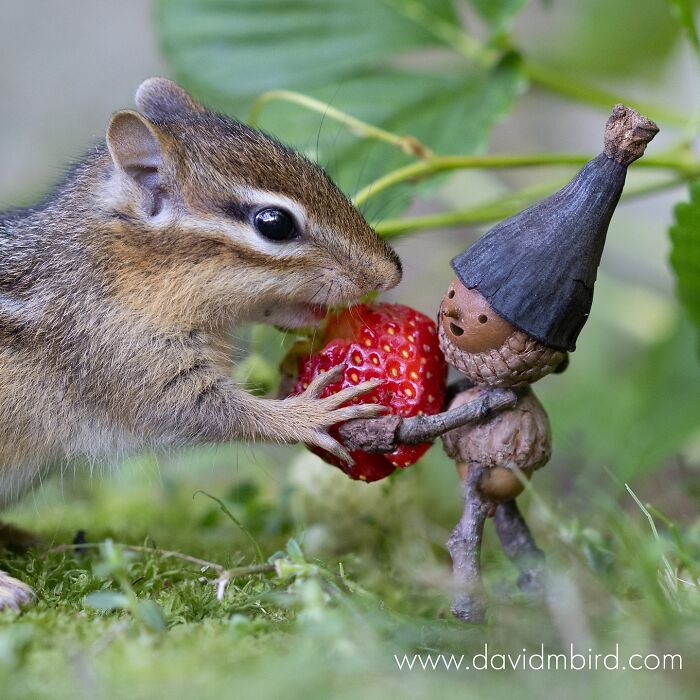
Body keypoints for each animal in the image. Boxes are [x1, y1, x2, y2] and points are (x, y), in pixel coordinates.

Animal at [0, 78, 402, 610]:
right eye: (275, 223)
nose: (391, 271)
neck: (114, 268)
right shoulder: (124, 354)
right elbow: (199, 411)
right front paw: (310, 412)